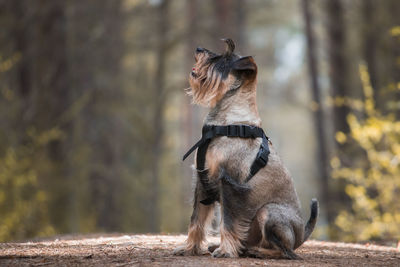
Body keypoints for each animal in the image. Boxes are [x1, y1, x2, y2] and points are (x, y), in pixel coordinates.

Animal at [175, 38, 318, 260]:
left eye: (224, 59)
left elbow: (227, 222)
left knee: (285, 251)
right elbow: (196, 220)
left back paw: (256, 251)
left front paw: (225, 251)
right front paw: (190, 248)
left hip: (267, 212)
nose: (198, 49)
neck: (228, 121)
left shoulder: (230, 183)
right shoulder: (201, 180)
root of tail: (302, 234)